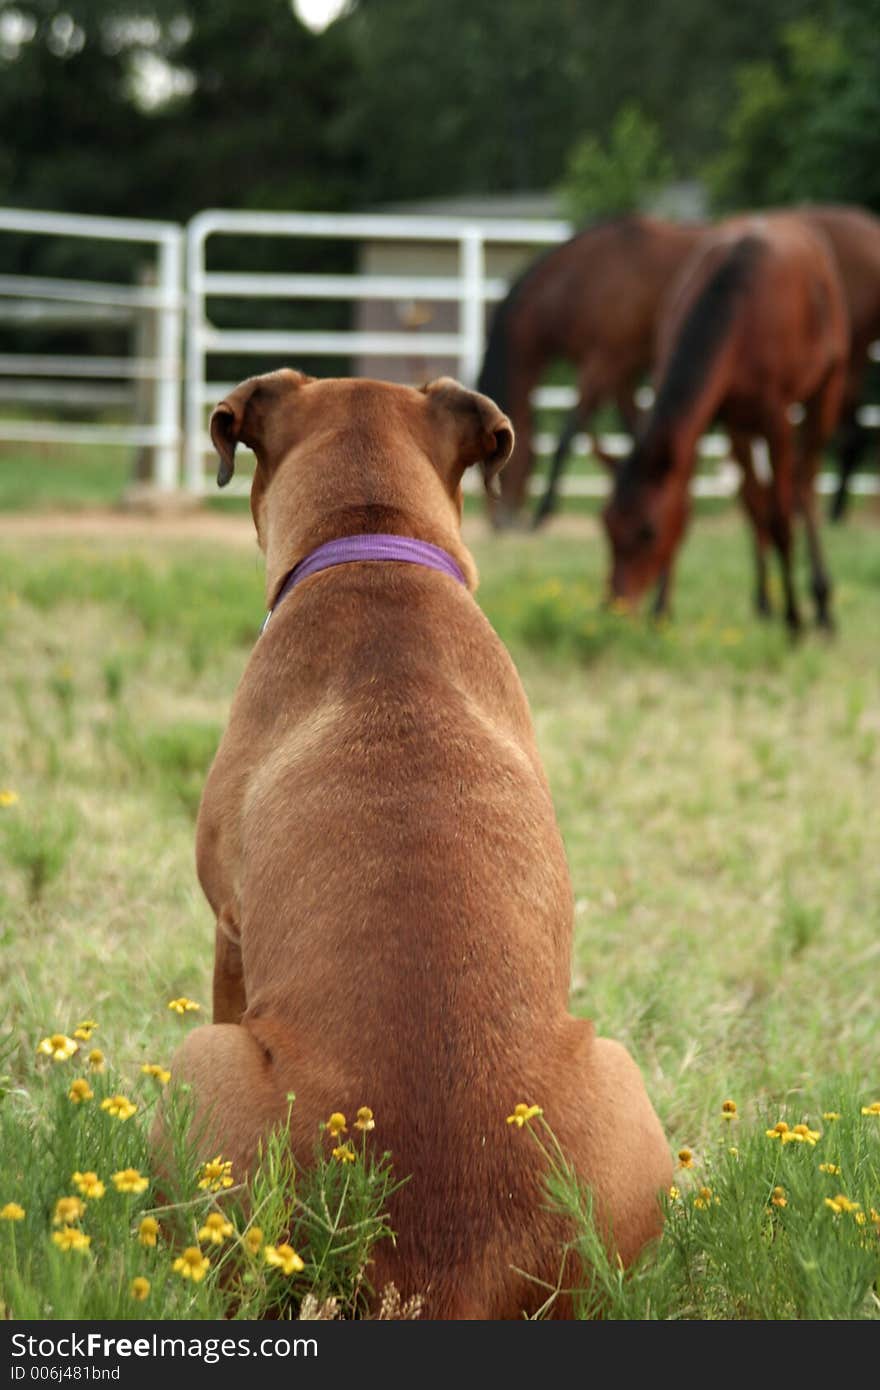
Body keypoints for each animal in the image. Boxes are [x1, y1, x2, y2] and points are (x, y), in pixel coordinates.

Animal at [472, 216, 706, 525]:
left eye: (498, 450)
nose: (499, 520)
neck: (582, 281)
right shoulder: (622, 372)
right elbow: (631, 427)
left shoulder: (603, 363)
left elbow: (568, 433)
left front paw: (544, 510)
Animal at [600, 211, 845, 631]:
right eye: (607, 525)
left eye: (647, 531)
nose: (616, 606)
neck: (735, 305)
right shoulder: (728, 418)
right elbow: (725, 502)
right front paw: (662, 611)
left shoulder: (775, 417)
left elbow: (781, 517)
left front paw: (794, 619)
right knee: (760, 498)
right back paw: (765, 602)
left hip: (827, 388)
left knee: (805, 484)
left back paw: (822, 605)